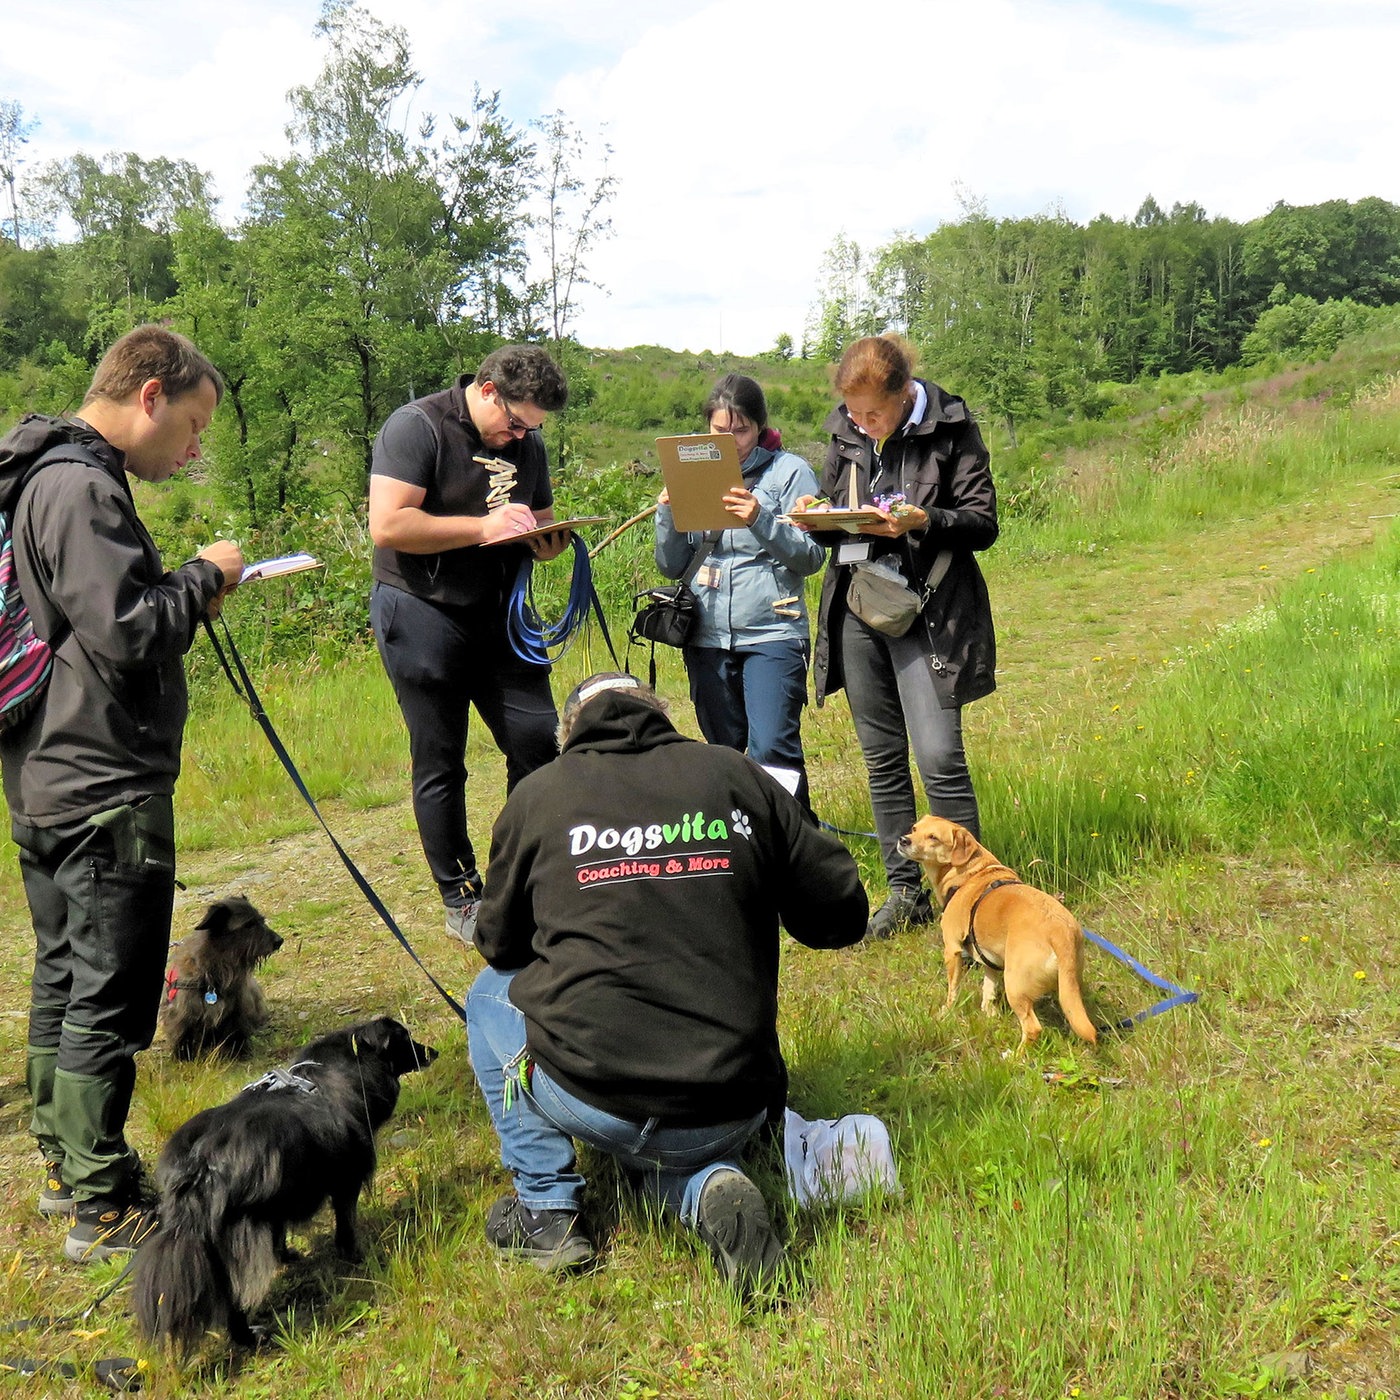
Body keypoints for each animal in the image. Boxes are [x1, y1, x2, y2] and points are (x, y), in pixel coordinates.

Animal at [134, 1019, 436, 1355]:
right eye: (404, 1038)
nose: (433, 1052)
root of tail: (199, 1162)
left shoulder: (277, 1201)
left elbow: (280, 1234)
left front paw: (288, 1256)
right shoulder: (346, 1179)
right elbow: (345, 1223)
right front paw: (354, 1255)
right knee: (232, 1298)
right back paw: (249, 1337)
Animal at [160, 896, 284, 1058]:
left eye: (261, 920)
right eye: (249, 924)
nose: (279, 941)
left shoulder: (237, 1008)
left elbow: (235, 1031)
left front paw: (238, 1051)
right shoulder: (182, 1012)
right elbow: (182, 1034)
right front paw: (183, 1056)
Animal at [896, 817, 1092, 1052]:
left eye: (933, 837)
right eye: (914, 828)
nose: (903, 839)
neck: (968, 873)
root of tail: (1060, 931)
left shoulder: (952, 950)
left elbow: (953, 990)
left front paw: (947, 1011)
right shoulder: (990, 960)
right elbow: (988, 991)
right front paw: (990, 1015)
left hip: (1014, 985)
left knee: (1032, 1027)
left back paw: (1015, 1056)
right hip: (1068, 985)